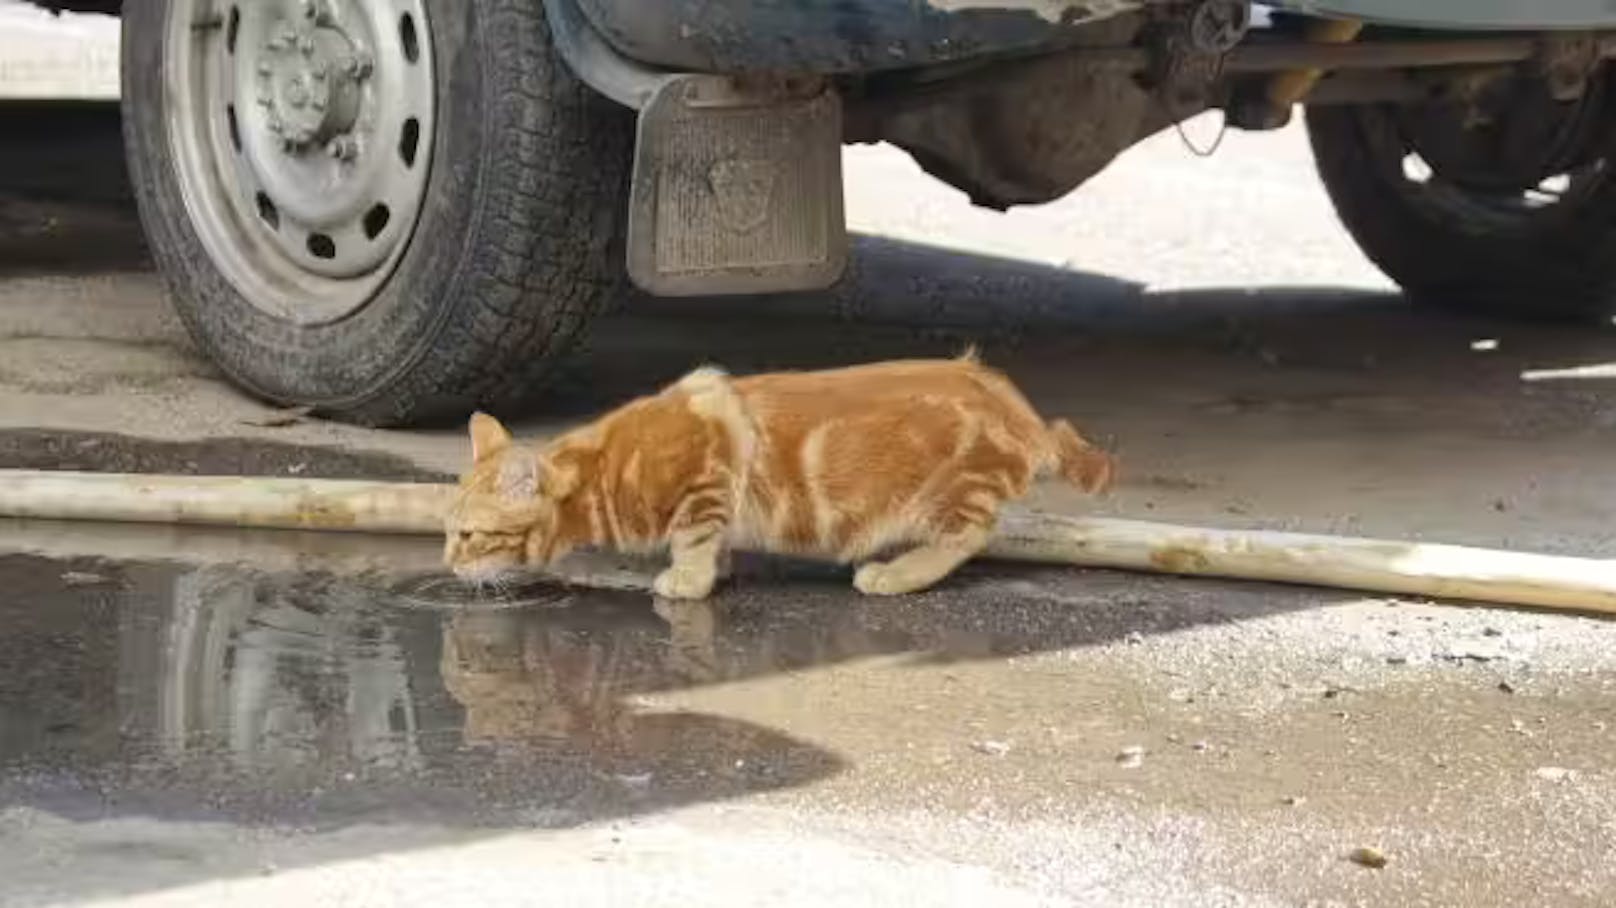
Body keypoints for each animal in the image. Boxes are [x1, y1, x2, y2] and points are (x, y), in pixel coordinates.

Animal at [449, 350, 1118, 597]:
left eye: (468, 535)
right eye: (449, 532)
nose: (448, 565)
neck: (605, 468)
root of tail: (1016, 405)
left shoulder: (706, 477)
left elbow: (694, 537)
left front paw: (687, 579)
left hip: (954, 495)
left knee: (968, 535)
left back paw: (896, 574)